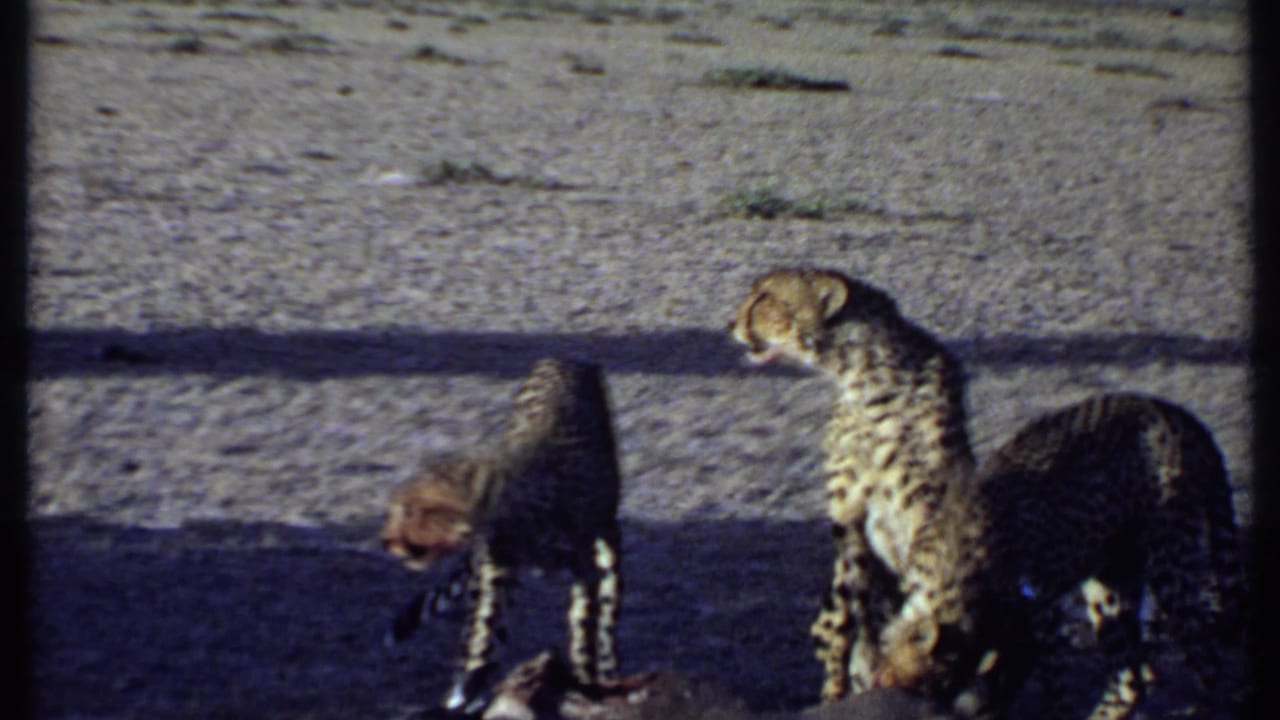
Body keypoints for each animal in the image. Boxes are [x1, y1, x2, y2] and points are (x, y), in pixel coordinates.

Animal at [381, 357, 624, 715]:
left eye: (407, 512)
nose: (385, 540)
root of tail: (566, 359)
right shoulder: (494, 578)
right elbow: (481, 641)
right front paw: (463, 696)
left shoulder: (585, 568)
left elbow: (584, 633)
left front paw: (587, 684)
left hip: (608, 544)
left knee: (606, 624)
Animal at [729, 267, 980, 702]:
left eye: (764, 298)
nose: (730, 324)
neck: (866, 374)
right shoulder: (848, 520)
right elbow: (847, 616)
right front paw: (838, 690)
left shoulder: (924, 517)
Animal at [873, 393, 1246, 720]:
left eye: (937, 687)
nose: (884, 683)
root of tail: (1175, 412)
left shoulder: (1040, 615)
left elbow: (1049, 685)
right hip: (1110, 577)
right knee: (1131, 682)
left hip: (1169, 559)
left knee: (1205, 657)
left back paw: (1199, 707)